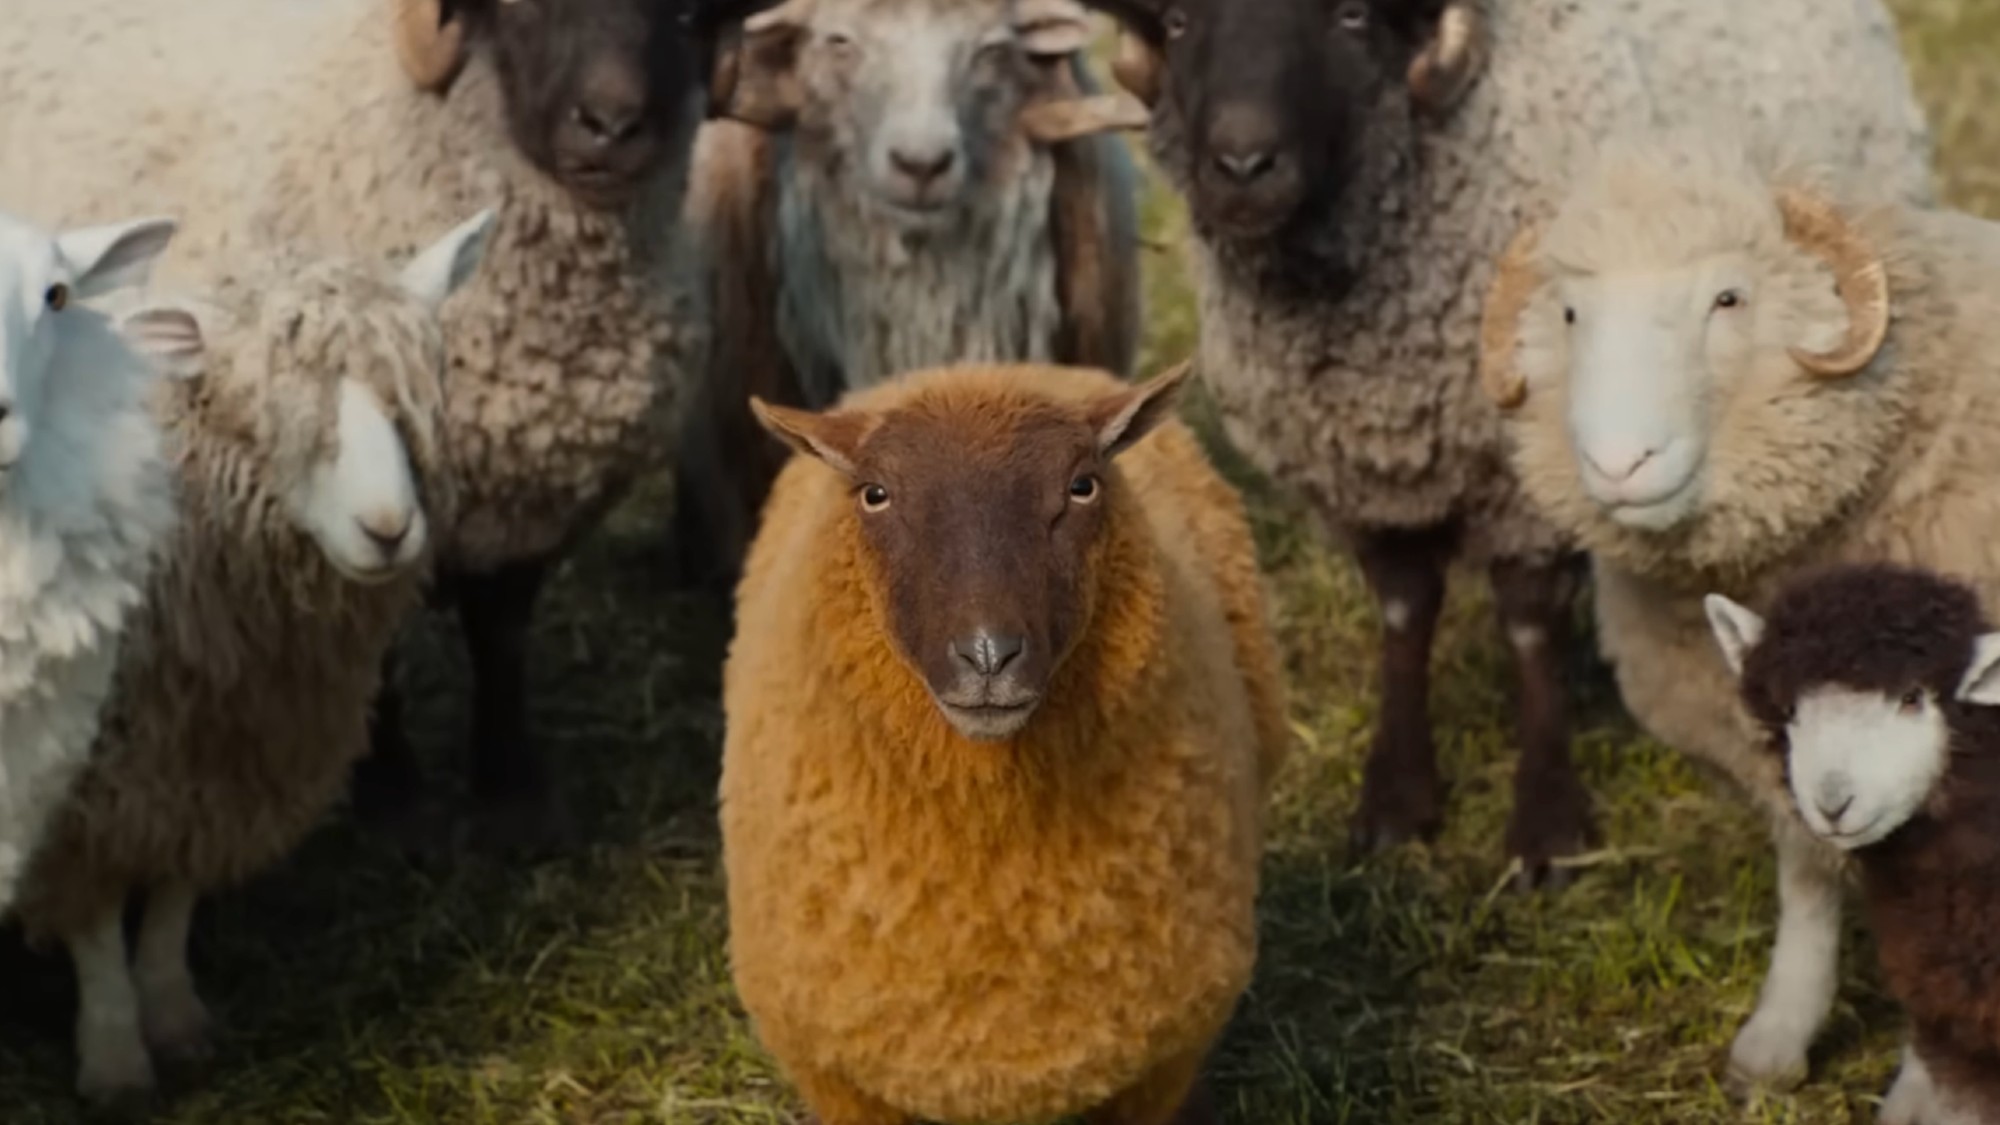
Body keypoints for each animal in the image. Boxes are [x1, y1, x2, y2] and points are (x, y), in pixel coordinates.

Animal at [720, 360, 1290, 1125]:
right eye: (875, 494)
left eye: (1082, 486)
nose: (988, 654)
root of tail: (983, 365)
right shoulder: (840, 1077)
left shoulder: (1158, 1064)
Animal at [1068, 0, 1936, 895]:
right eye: (1178, 21)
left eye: (1351, 18)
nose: (1242, 165)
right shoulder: (1367, 480)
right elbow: (1404, 612)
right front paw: (1397, 802)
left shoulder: (1528, 481)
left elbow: (1528, 626)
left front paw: (1547, 826)